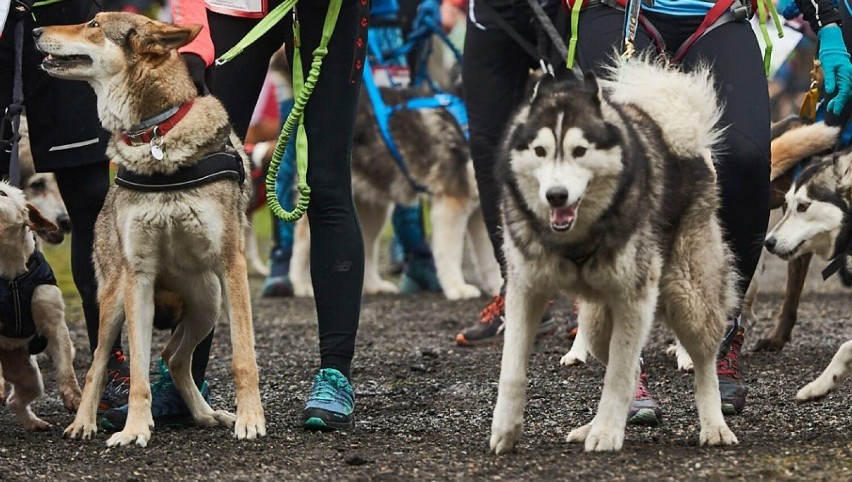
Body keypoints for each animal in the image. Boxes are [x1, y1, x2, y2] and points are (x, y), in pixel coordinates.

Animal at [34, 12, 266, 448]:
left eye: (93, 24)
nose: (37, 30)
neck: (155, 134)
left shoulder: (232, 265)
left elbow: (243, 358)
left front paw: (250, 420)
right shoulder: (138, 276)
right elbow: (139, 372)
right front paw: (135, 429)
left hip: (208, 302)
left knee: (174, 357)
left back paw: (208, 415)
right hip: (115, 302)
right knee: (98, 365)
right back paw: (84, 423)